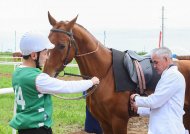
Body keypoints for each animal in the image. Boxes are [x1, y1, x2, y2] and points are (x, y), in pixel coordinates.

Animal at [43, 12, 190, 133]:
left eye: (62, 45)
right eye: (47, 41)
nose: (46, 74)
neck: (106, 74)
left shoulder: (119, 121)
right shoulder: (104, 122)